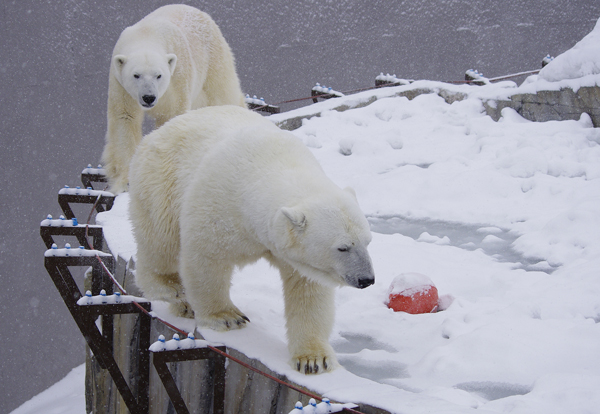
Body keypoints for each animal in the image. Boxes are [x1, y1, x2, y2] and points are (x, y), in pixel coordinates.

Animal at [102, 5, 245, 194]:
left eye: (159, 75)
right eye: (136, 75)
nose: (149, 97)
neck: (146, 35)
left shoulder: (177, 75)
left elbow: (171, 114)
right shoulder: (120, 84)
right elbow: (125, 119)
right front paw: (125, 183)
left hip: (213, 57)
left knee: (223, 92)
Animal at [129, 105, 376, 374]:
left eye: (368, 241)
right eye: (343, 248)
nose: (367, 279)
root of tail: (159, 131)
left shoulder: (290, 252)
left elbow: (308, 290)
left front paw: (313, 359)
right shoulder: (218, 205)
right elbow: (206, 259)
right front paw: (227, 316)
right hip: (161, 181)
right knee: (160, 240)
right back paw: (171, 287)